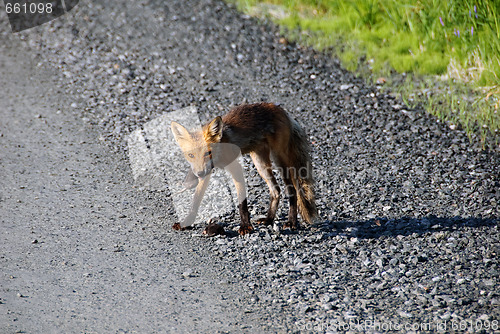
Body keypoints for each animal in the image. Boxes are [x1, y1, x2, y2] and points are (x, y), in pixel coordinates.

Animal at [170, 102, 314, 235]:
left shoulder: (236, 168)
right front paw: (187, 222)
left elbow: (241, 203)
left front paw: (245, 225)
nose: (199, 173)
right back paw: (269, 219)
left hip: (279, 160)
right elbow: (196, 199)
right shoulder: (207, 172)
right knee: (276, 190)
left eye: (208, 153)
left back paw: (291, 222)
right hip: (260, 162)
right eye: (191, 155)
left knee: (292, 190)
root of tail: (280, 109)